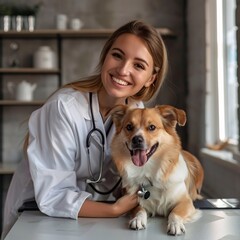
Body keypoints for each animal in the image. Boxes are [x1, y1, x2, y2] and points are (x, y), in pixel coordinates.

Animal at [109, 104, 203, 234]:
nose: (136, 139)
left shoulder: (186, 202)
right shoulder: (133, 203)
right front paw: (138, 219)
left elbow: (175, 213)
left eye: (152, 127)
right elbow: (139, 210)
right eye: (129, 127)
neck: (148, 171)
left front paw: (175, 224)